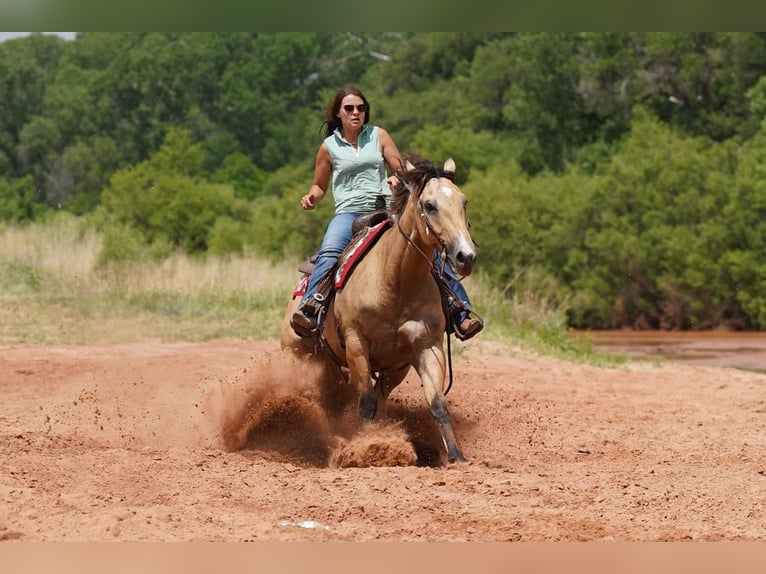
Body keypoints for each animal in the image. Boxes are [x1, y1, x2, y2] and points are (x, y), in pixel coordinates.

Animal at [280, 158, 476, 468]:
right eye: (430, 205)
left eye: (463, 201)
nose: (465, 256)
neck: (396, 280)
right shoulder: (356, 344)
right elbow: (366, 405)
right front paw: (365, 449)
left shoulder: (427, 347)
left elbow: (436, 405)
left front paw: (456, 456)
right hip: (298, 352)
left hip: (386, 369)